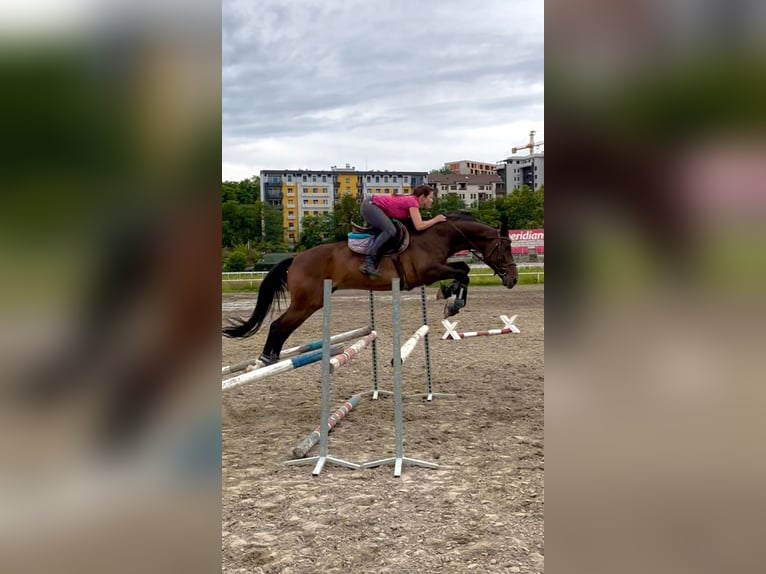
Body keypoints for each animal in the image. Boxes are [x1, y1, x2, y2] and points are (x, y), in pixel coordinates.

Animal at [222, 214, 518, 365]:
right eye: (506, 247)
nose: (513, 279)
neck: (436, 236)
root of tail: (295, 258)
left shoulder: (438, 268)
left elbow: (463, 270)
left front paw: (448, 297)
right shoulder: (428, 272)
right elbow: (462, 272)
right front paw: (451, 302)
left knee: (281, 326)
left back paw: (271, 358)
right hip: (308, 302)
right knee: (279, 325)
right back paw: (267, 359)